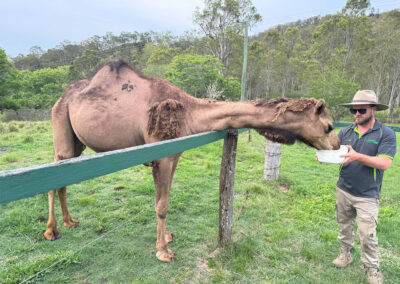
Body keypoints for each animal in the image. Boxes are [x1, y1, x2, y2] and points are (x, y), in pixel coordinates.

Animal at [47, 60, 340, 262]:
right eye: (328, 126)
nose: (337, 145)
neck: (190, 112)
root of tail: (62, 96)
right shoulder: (162, 154)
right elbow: (162, 205)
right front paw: (164, 251)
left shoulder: (174, 155)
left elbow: (162, 199)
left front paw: (165, 238)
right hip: (61, 123)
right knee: (52, 176)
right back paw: (51, 231)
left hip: (77, 141)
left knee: (62, 177)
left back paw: (70, 222)